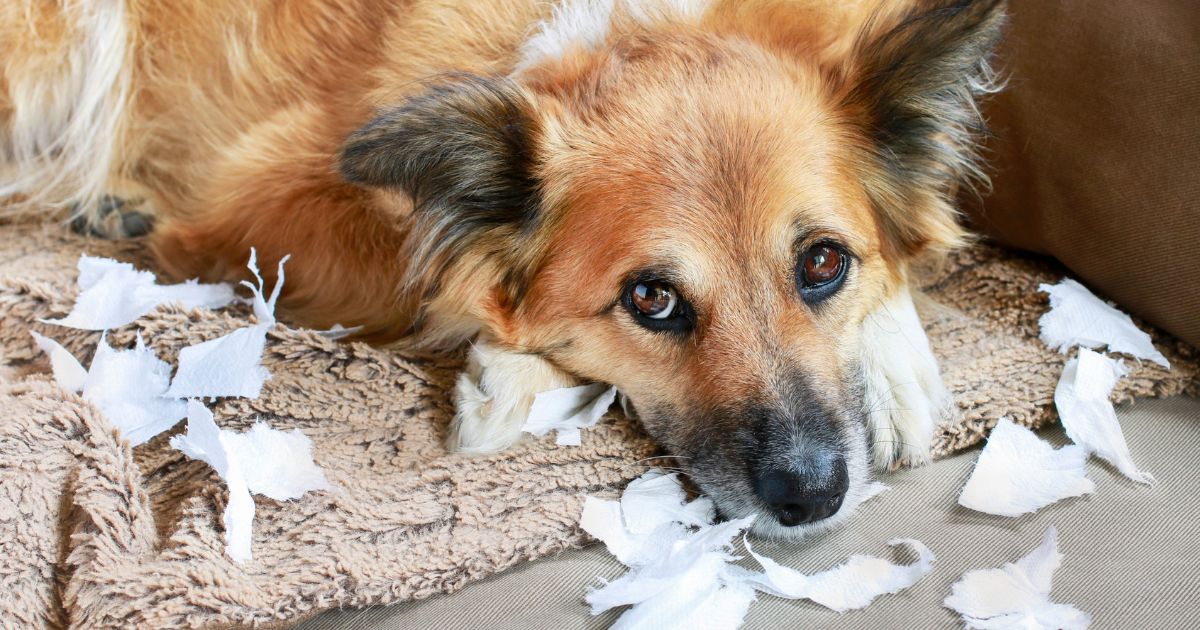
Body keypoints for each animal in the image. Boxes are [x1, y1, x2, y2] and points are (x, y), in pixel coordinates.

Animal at [2, 0, 1003, 535]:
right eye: (651, 299)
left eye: (824, 263)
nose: (814, 497)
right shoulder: (252, 199)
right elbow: (438, 273)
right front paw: (509, 378)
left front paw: (897, 373)